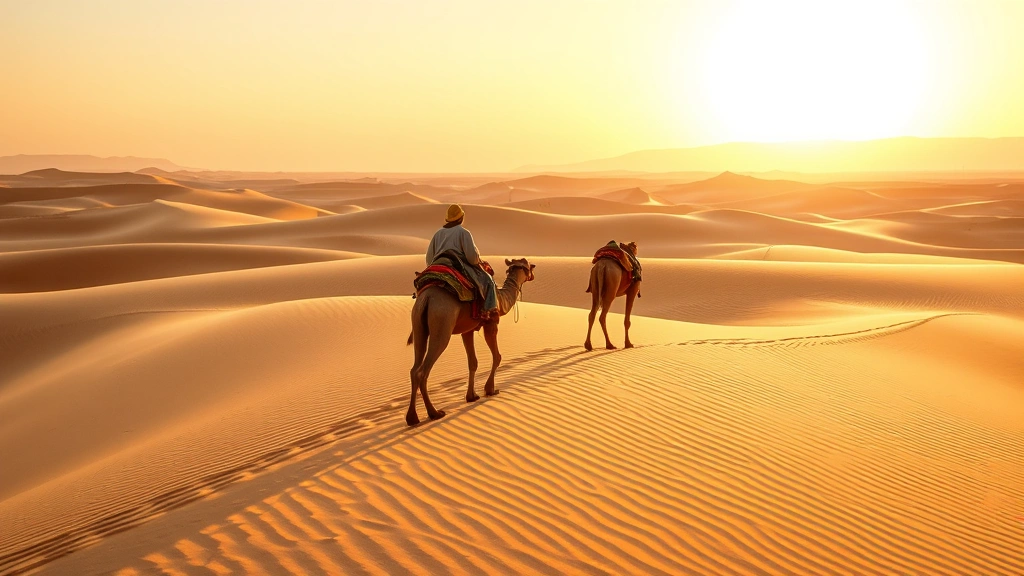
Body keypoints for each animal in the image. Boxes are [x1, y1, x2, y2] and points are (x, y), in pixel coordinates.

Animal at [406, 258, 536, 426]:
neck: (501, 299)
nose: (534, 271)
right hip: (442, 323)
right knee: (423, 370)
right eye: (529, 266)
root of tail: (427, 299)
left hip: (418, 325)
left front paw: (471, 396)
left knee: (414, 369)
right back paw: (434, 413)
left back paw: (412, 418)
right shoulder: (491, 323)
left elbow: (473, 362)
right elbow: (497, 356)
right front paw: (490, 389)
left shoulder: (467, 330)